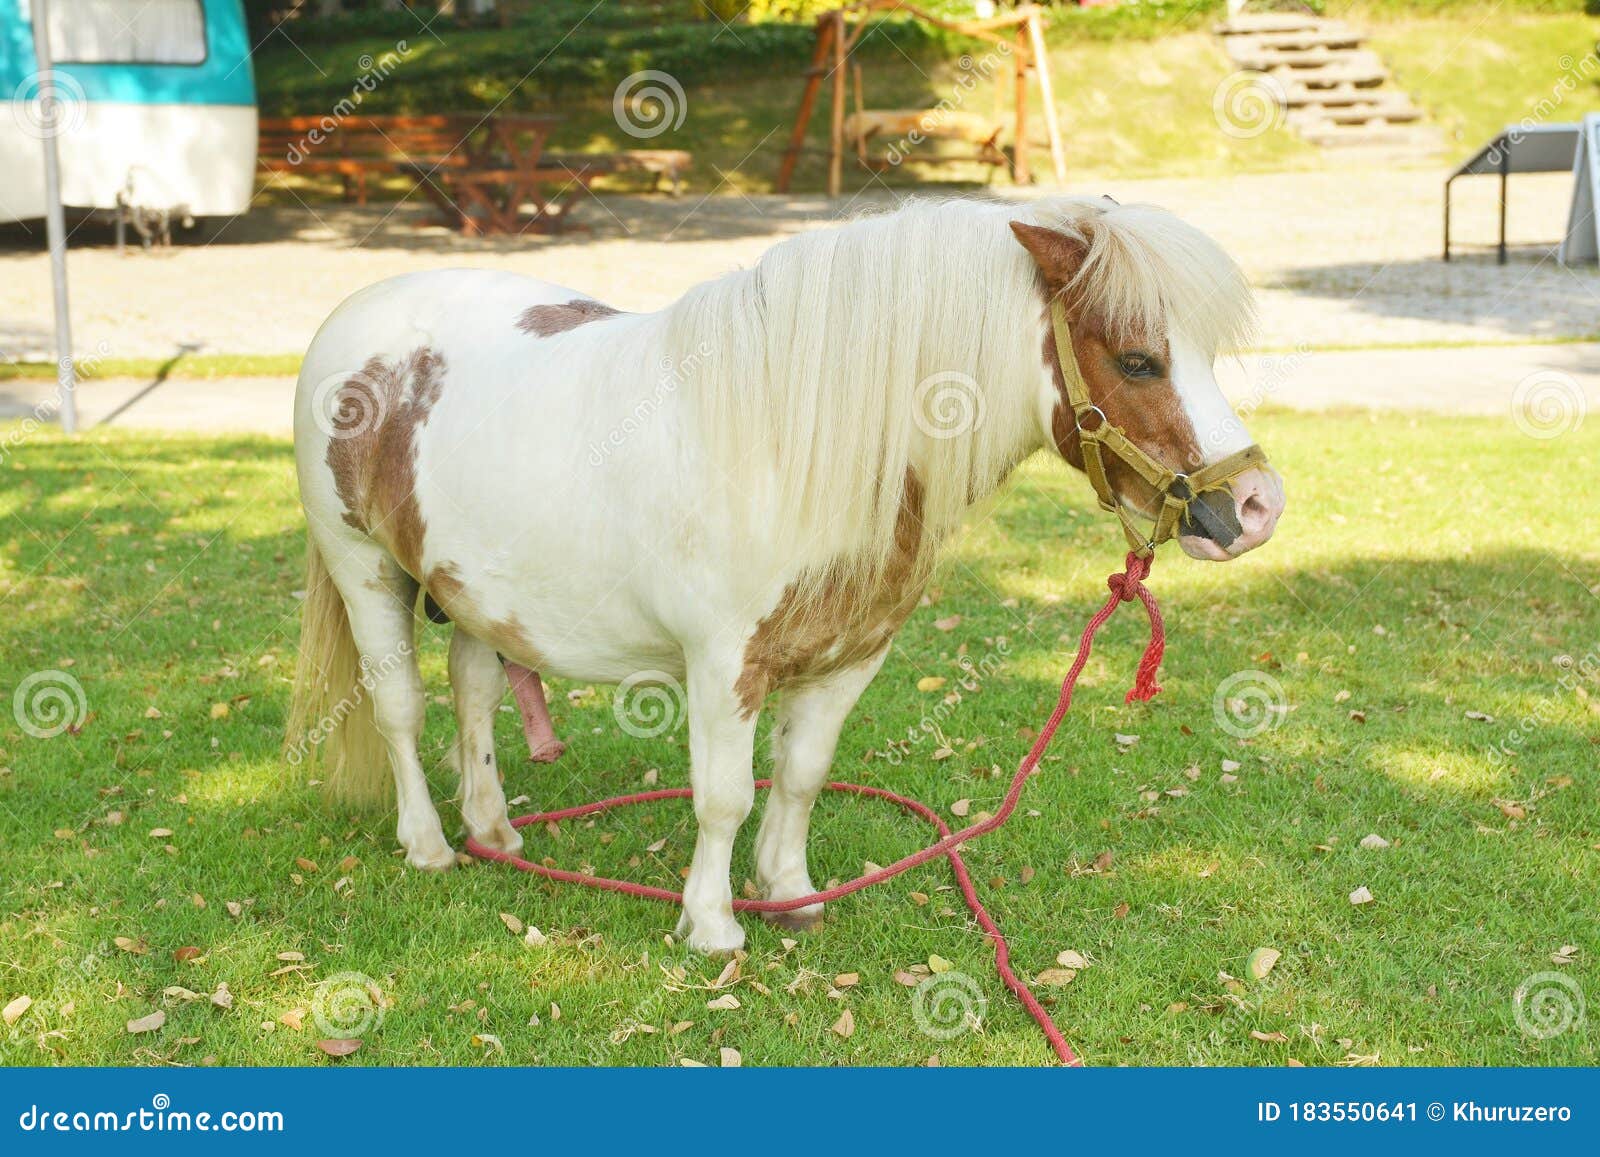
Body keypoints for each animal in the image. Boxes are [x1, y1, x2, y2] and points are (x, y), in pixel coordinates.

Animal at [288, 196, 1286, 947]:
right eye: (1136, 359)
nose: (1257, 506)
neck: (793, 446)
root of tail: (360, 313)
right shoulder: (724, 664)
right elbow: (724, 796)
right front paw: (712, 924)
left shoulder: (851, 657)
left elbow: (801, 775)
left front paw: (791, 894)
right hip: (365, 570)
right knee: (400, 708)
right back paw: (430, 844)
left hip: (477, 592)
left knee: (477, 690)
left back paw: (496, 831)